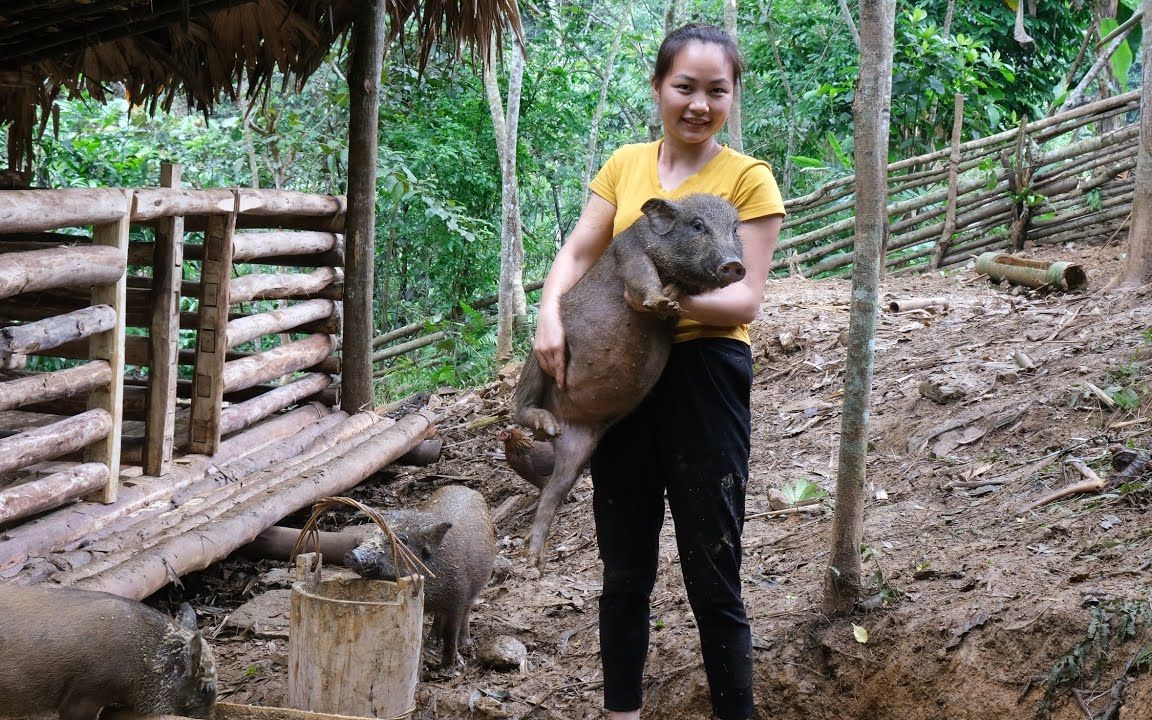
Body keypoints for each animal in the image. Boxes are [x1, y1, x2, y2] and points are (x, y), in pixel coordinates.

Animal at [511, 193, 741, 564]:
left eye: (735, 229)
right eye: (697, 225)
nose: (734, 264)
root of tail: (564, 423)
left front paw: (673, 299)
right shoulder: (628, 249)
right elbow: (642, 276)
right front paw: (662, 301)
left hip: (578, 453)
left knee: (552, 491)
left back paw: (534, 559)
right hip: (537, 361)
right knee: (520, 407)